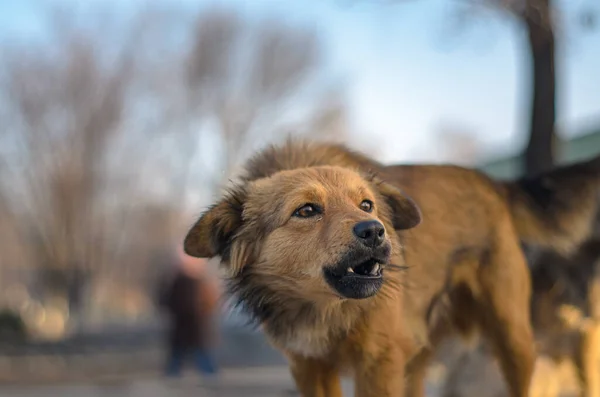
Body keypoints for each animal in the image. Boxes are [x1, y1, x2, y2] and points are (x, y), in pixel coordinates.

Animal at [183, 141, 600, 394]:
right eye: (306, 210)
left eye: (366, 205)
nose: (374, 231)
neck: (326, 311)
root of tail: (492, 183)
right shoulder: (310, 366)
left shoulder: (379, 362)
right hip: (417, 351)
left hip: (513, 336)